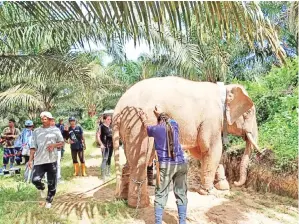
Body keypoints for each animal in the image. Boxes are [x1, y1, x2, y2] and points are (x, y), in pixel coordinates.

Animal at [112, 77, 260, 208]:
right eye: (249, 112)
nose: (236, 182)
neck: (224, 88)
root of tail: (117, 110)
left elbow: (201, 152)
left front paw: (223, 187)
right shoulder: (211, 119)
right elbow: (211, 149)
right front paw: (209, 192)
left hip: (129, 128)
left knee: (130, 160)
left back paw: (122, 198)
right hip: (140, 124)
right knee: (141, 160)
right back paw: (141, 205)